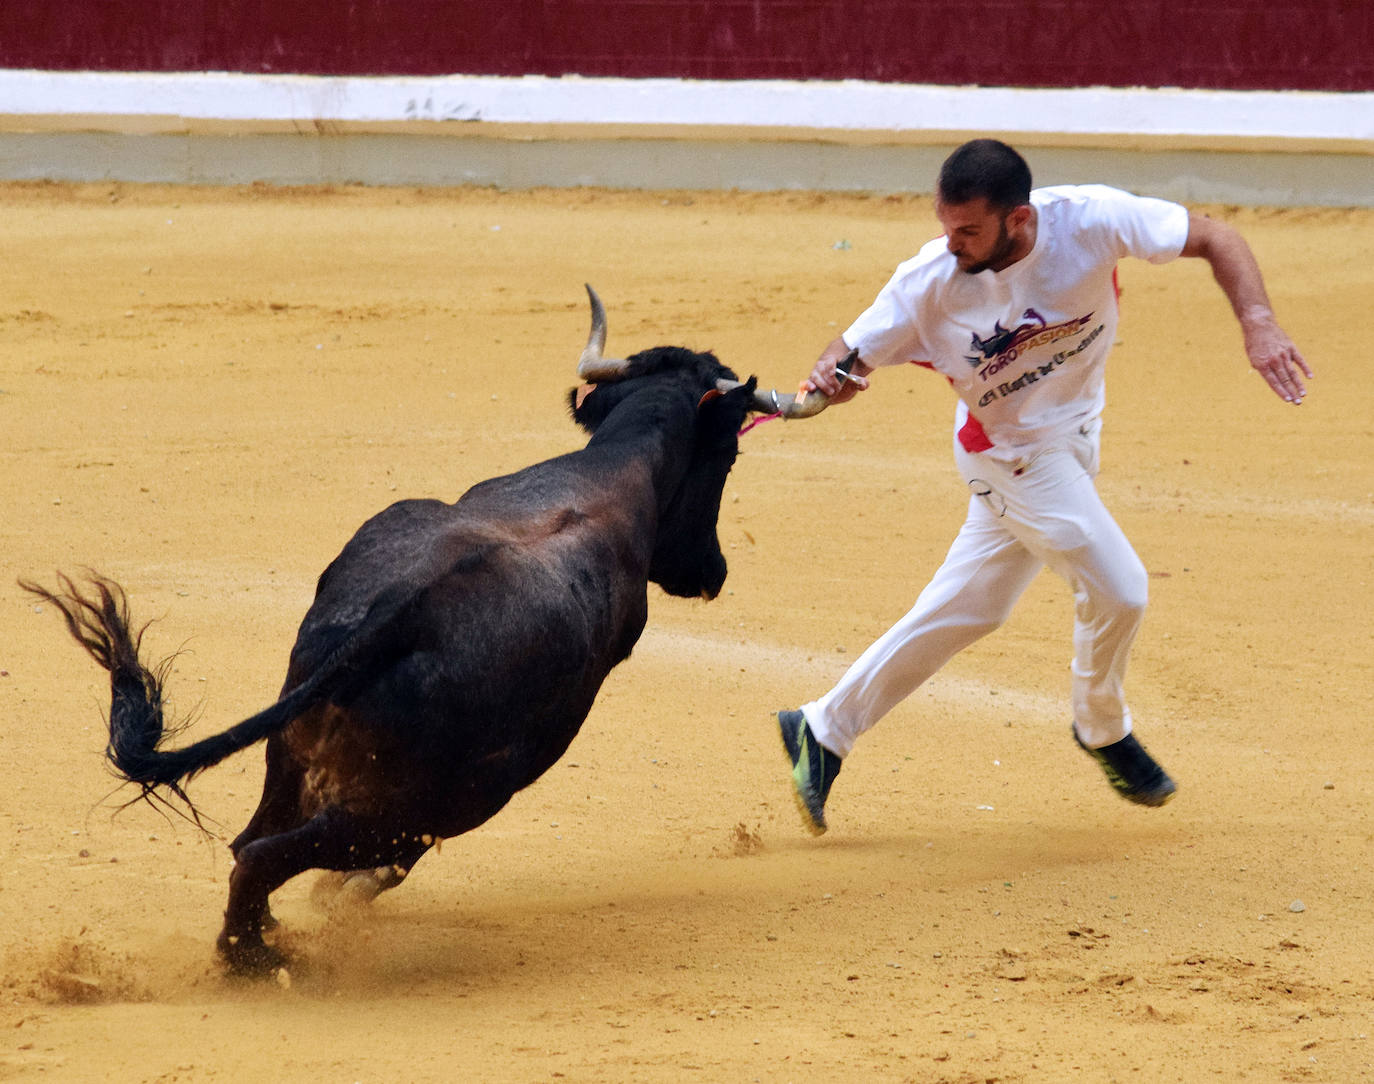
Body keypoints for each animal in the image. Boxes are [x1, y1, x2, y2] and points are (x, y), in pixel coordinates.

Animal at [24, 285, 835, 972]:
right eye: (728, 456)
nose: (712, 571)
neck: (609, 472)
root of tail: (394, 617)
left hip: (294, 757)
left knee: (250, 844)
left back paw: (267, 937)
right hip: (427, 800)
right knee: (283, 856)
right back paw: (261, 957)